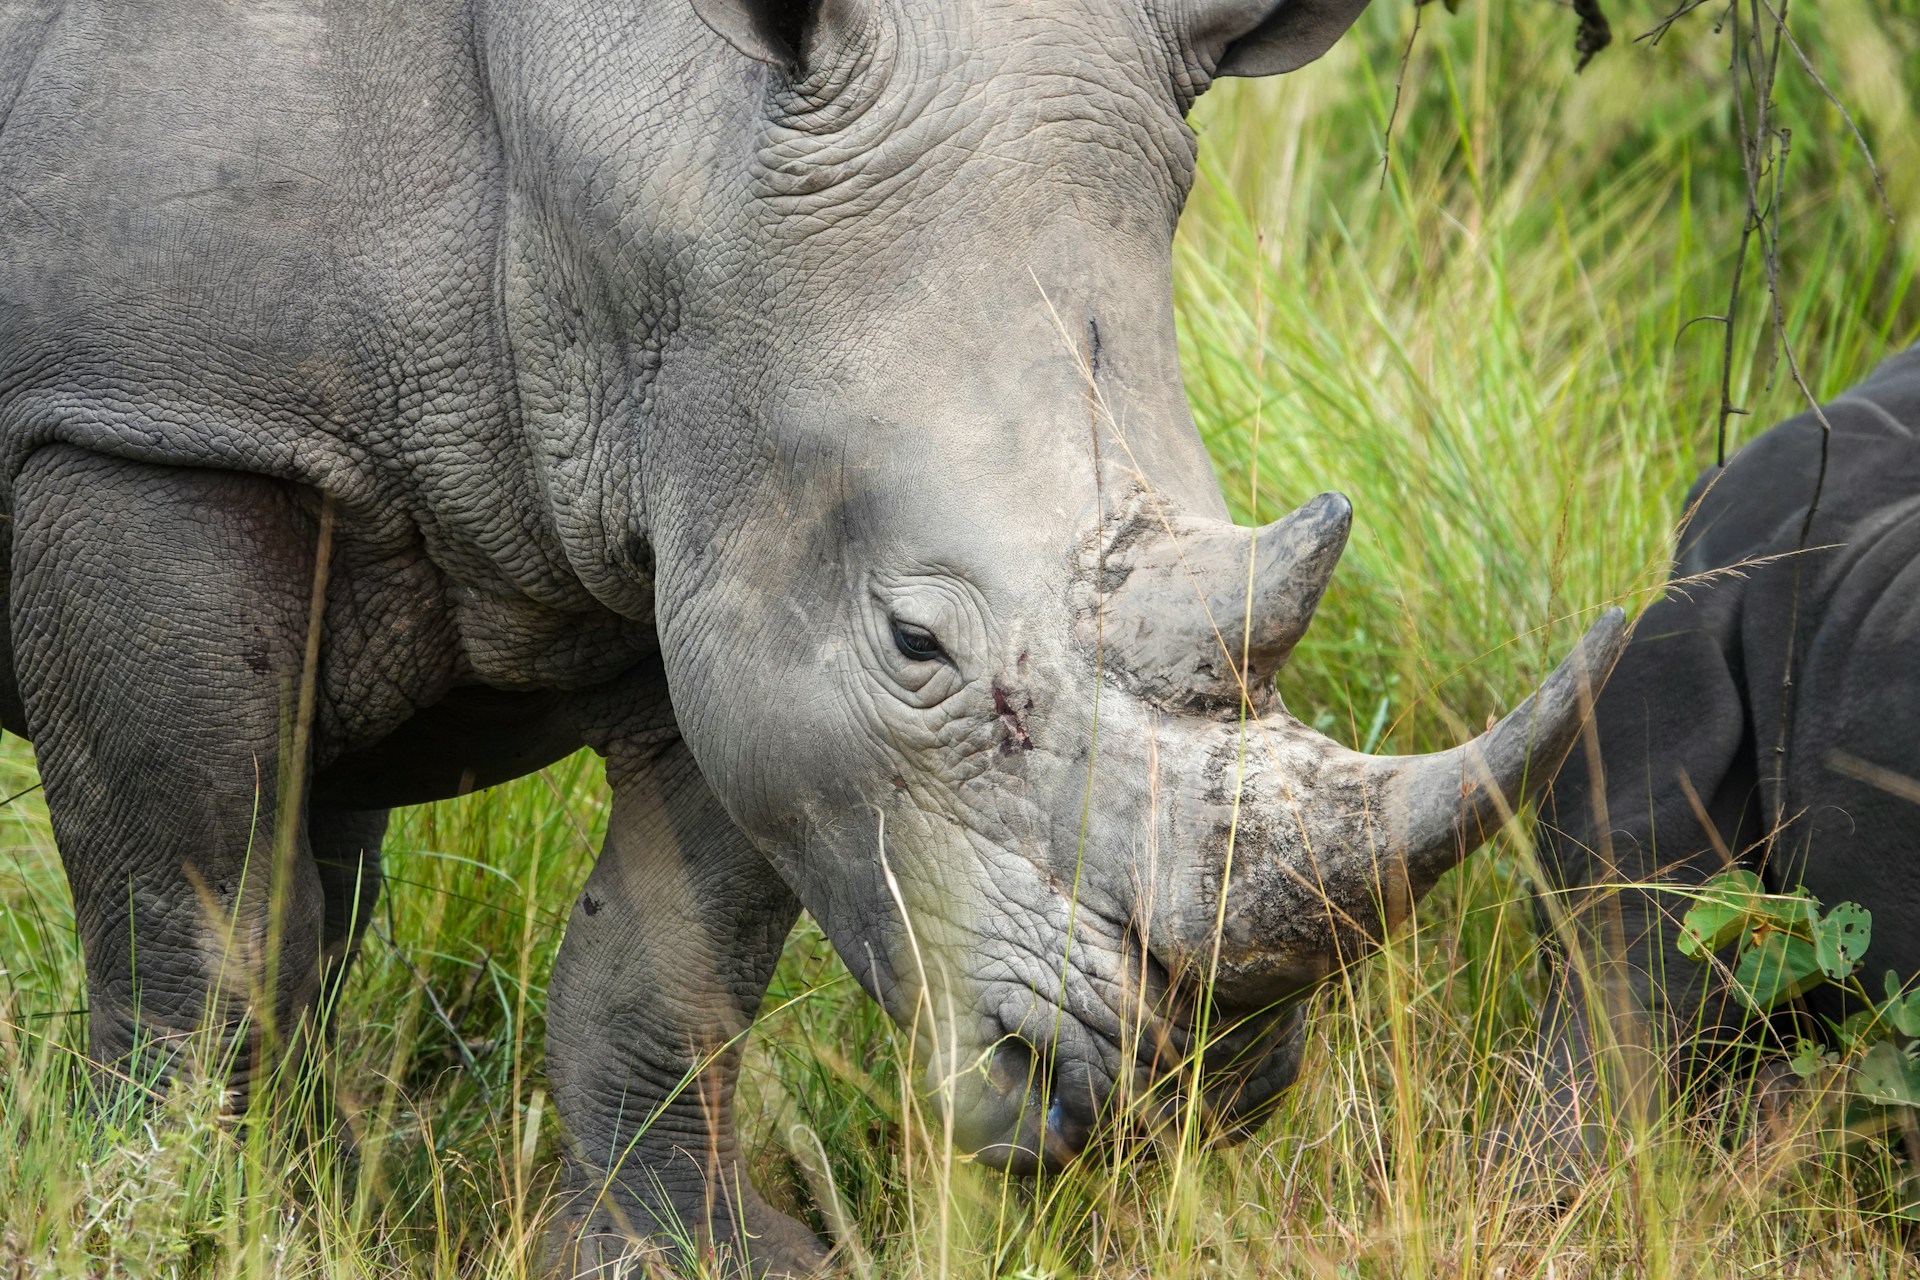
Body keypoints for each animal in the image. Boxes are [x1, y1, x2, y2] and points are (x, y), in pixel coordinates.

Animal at [0, 0, 1623, 1272]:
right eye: (916, 643)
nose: (1192, 1086)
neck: (640, 144)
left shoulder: (714, 526)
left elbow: (668, 956)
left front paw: (688, 1251)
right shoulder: (146, 425)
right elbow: (196, 916)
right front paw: (183, 1226)